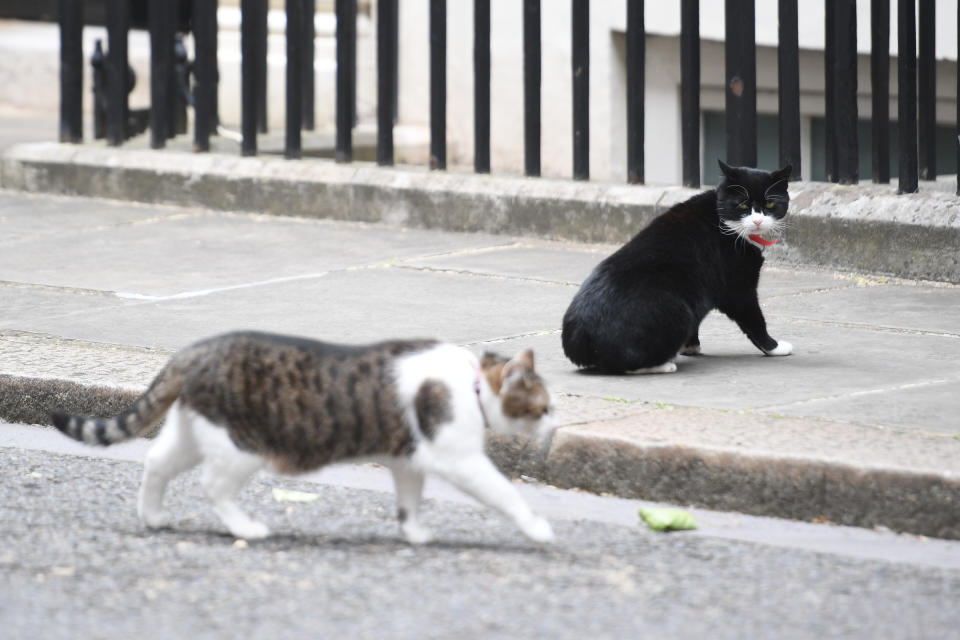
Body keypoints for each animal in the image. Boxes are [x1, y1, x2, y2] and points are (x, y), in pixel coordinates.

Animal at [52, 330, 560, 544]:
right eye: (545, 407)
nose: (557, 424)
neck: (471, 383)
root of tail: (193, 352)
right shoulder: (459, 459)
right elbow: (505, 493)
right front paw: (538, 528)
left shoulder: (408, 461)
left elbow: (409, 501)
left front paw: (414, 533)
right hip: (242, 445)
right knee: (213, 487)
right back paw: (246, 529)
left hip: (195, 433)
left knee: (156, 461)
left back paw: (154, 517)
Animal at [564, 161, 796, 376]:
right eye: (742, 206)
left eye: (770, 203)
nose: (757, 221)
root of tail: (579, 334)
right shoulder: (738, 287)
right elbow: (754, 319)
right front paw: (774, 347)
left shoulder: (701, 291)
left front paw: (690, 346)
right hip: (678, 311)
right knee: (625, 364)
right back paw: (663, 364)